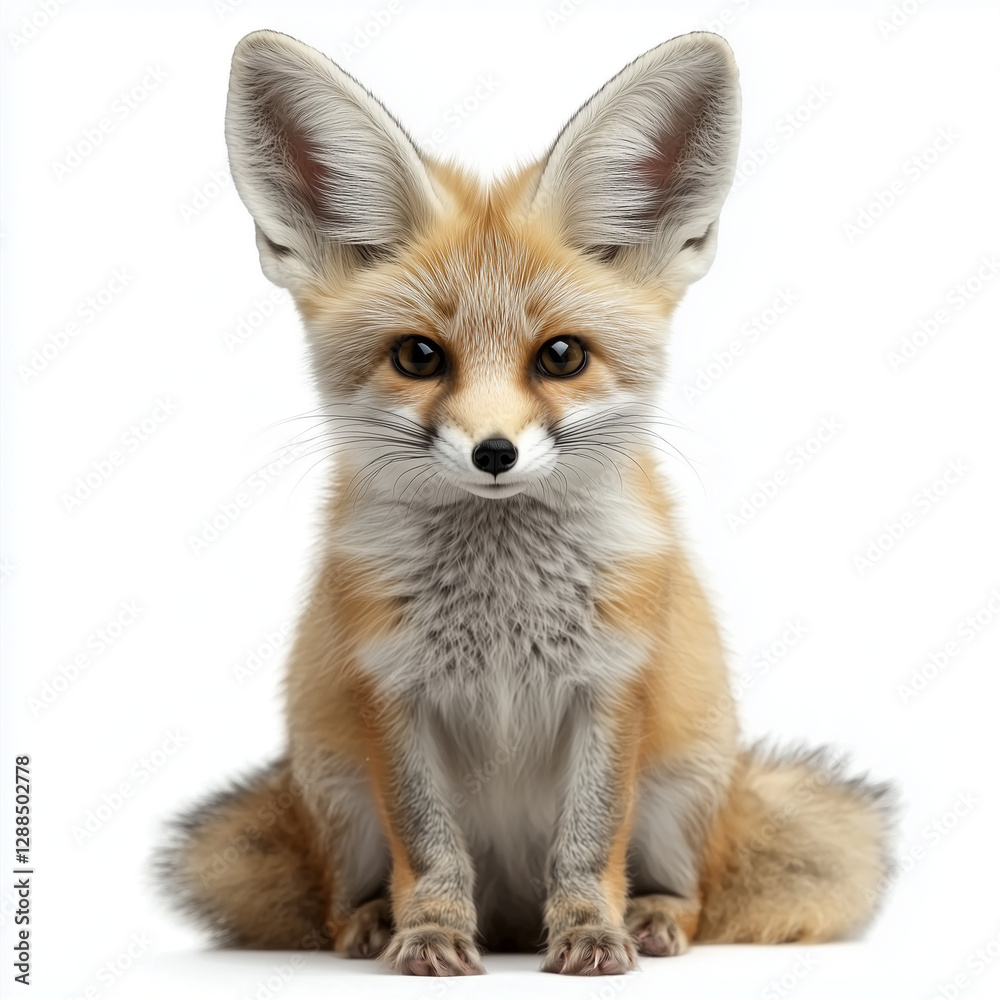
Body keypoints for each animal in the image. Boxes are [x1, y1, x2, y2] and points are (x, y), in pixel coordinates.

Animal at [158, 29, 896, 976]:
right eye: (418, 356)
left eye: (561, 356)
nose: (494, 453)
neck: (500, 608)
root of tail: (510, 918)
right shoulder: (392, 691)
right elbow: (429, 850)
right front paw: (429, 935)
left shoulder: (612, 684)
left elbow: (588, 846)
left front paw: (591, 934)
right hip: (334, 787)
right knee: (335, 896)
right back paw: (371, 924)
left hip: (686, 783)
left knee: (694, 893)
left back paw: (652, 917)